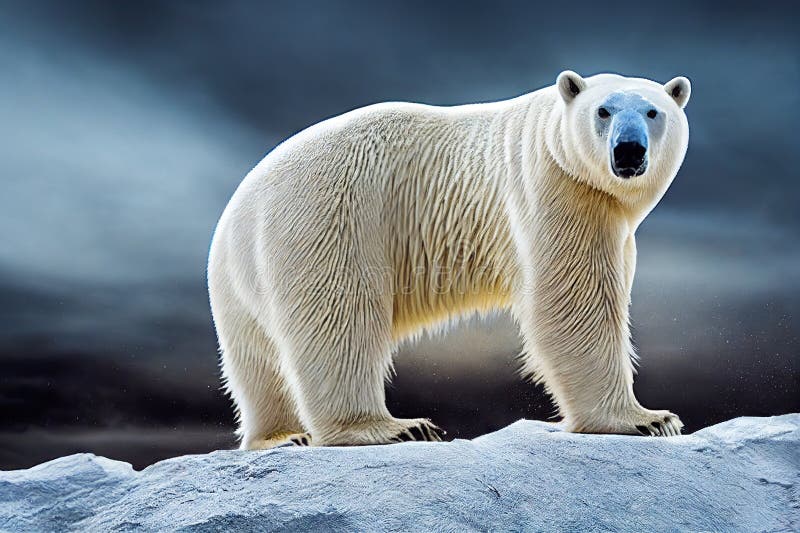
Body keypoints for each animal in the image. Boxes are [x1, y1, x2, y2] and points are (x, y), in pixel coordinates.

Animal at [208, 70, 691, 449]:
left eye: (653, 112)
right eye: (603, 111)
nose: (629, 150)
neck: (549, 134)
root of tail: (243, 202)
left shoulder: (608, 217)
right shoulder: (554, 186)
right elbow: (573, 302)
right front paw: (648, 420)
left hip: (236, 279)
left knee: (256, 359)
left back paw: (282, 435)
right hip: (331, 215)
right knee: (338, 317)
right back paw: (392, 427)